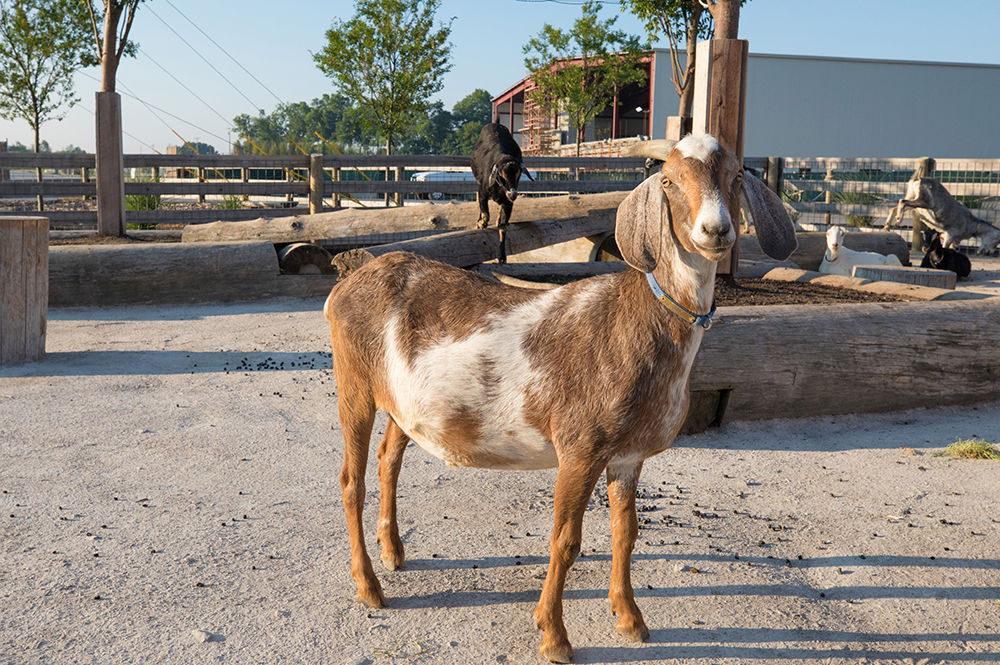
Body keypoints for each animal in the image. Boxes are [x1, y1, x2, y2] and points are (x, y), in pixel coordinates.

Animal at [468, 122, 532, 262]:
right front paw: (481, 223)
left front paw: (502, 256)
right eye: (501, 176)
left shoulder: (508, 203)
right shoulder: (482, 192)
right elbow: (485, 213)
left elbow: (503, 227)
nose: (512, 194)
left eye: (519, 175)